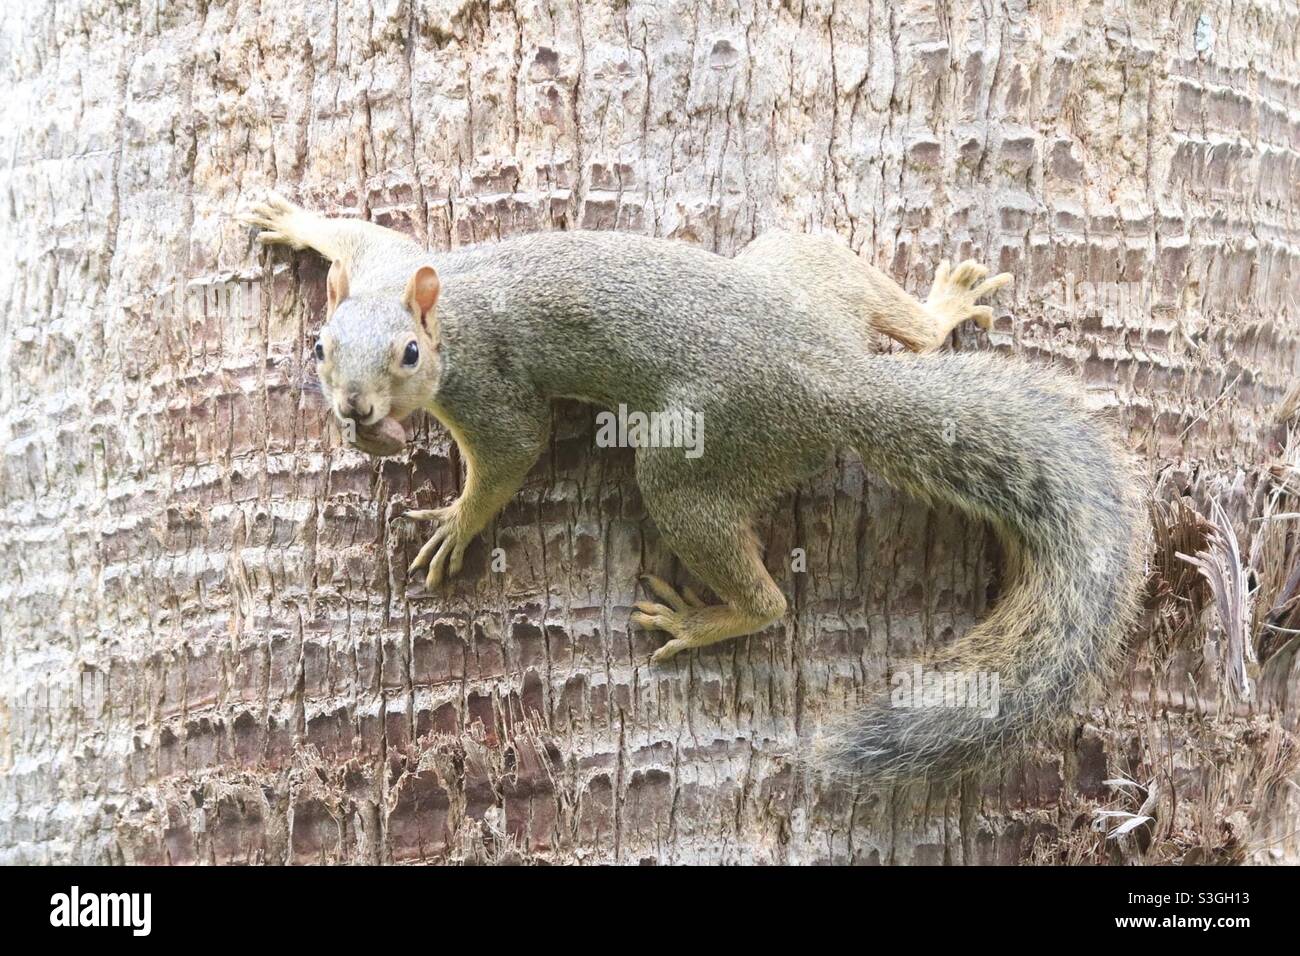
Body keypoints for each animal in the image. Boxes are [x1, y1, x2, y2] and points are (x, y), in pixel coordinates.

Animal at [236, 192, 1145, 783]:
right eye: (318, 345)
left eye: (410, 357)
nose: (356, 410)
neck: (444, 309)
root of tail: (835, 380)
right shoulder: (385, 259)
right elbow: (360, 231)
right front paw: (294, 221)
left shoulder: (490, 391)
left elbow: (512, 452)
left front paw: (458, 522)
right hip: (802, 262)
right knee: (896, 318)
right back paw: (943, 307)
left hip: (695, 462)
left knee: (766, 597)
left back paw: (708, 618)